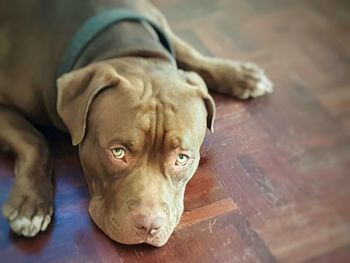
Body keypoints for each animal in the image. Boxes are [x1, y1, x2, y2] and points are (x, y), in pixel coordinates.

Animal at [0, 0, 274, 248]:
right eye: (118, 152)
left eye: (182, 158)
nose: (149, 225)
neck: (129, 49)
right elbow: (34, 140)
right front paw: (31, 203)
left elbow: (188, 52)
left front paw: (238, 74)